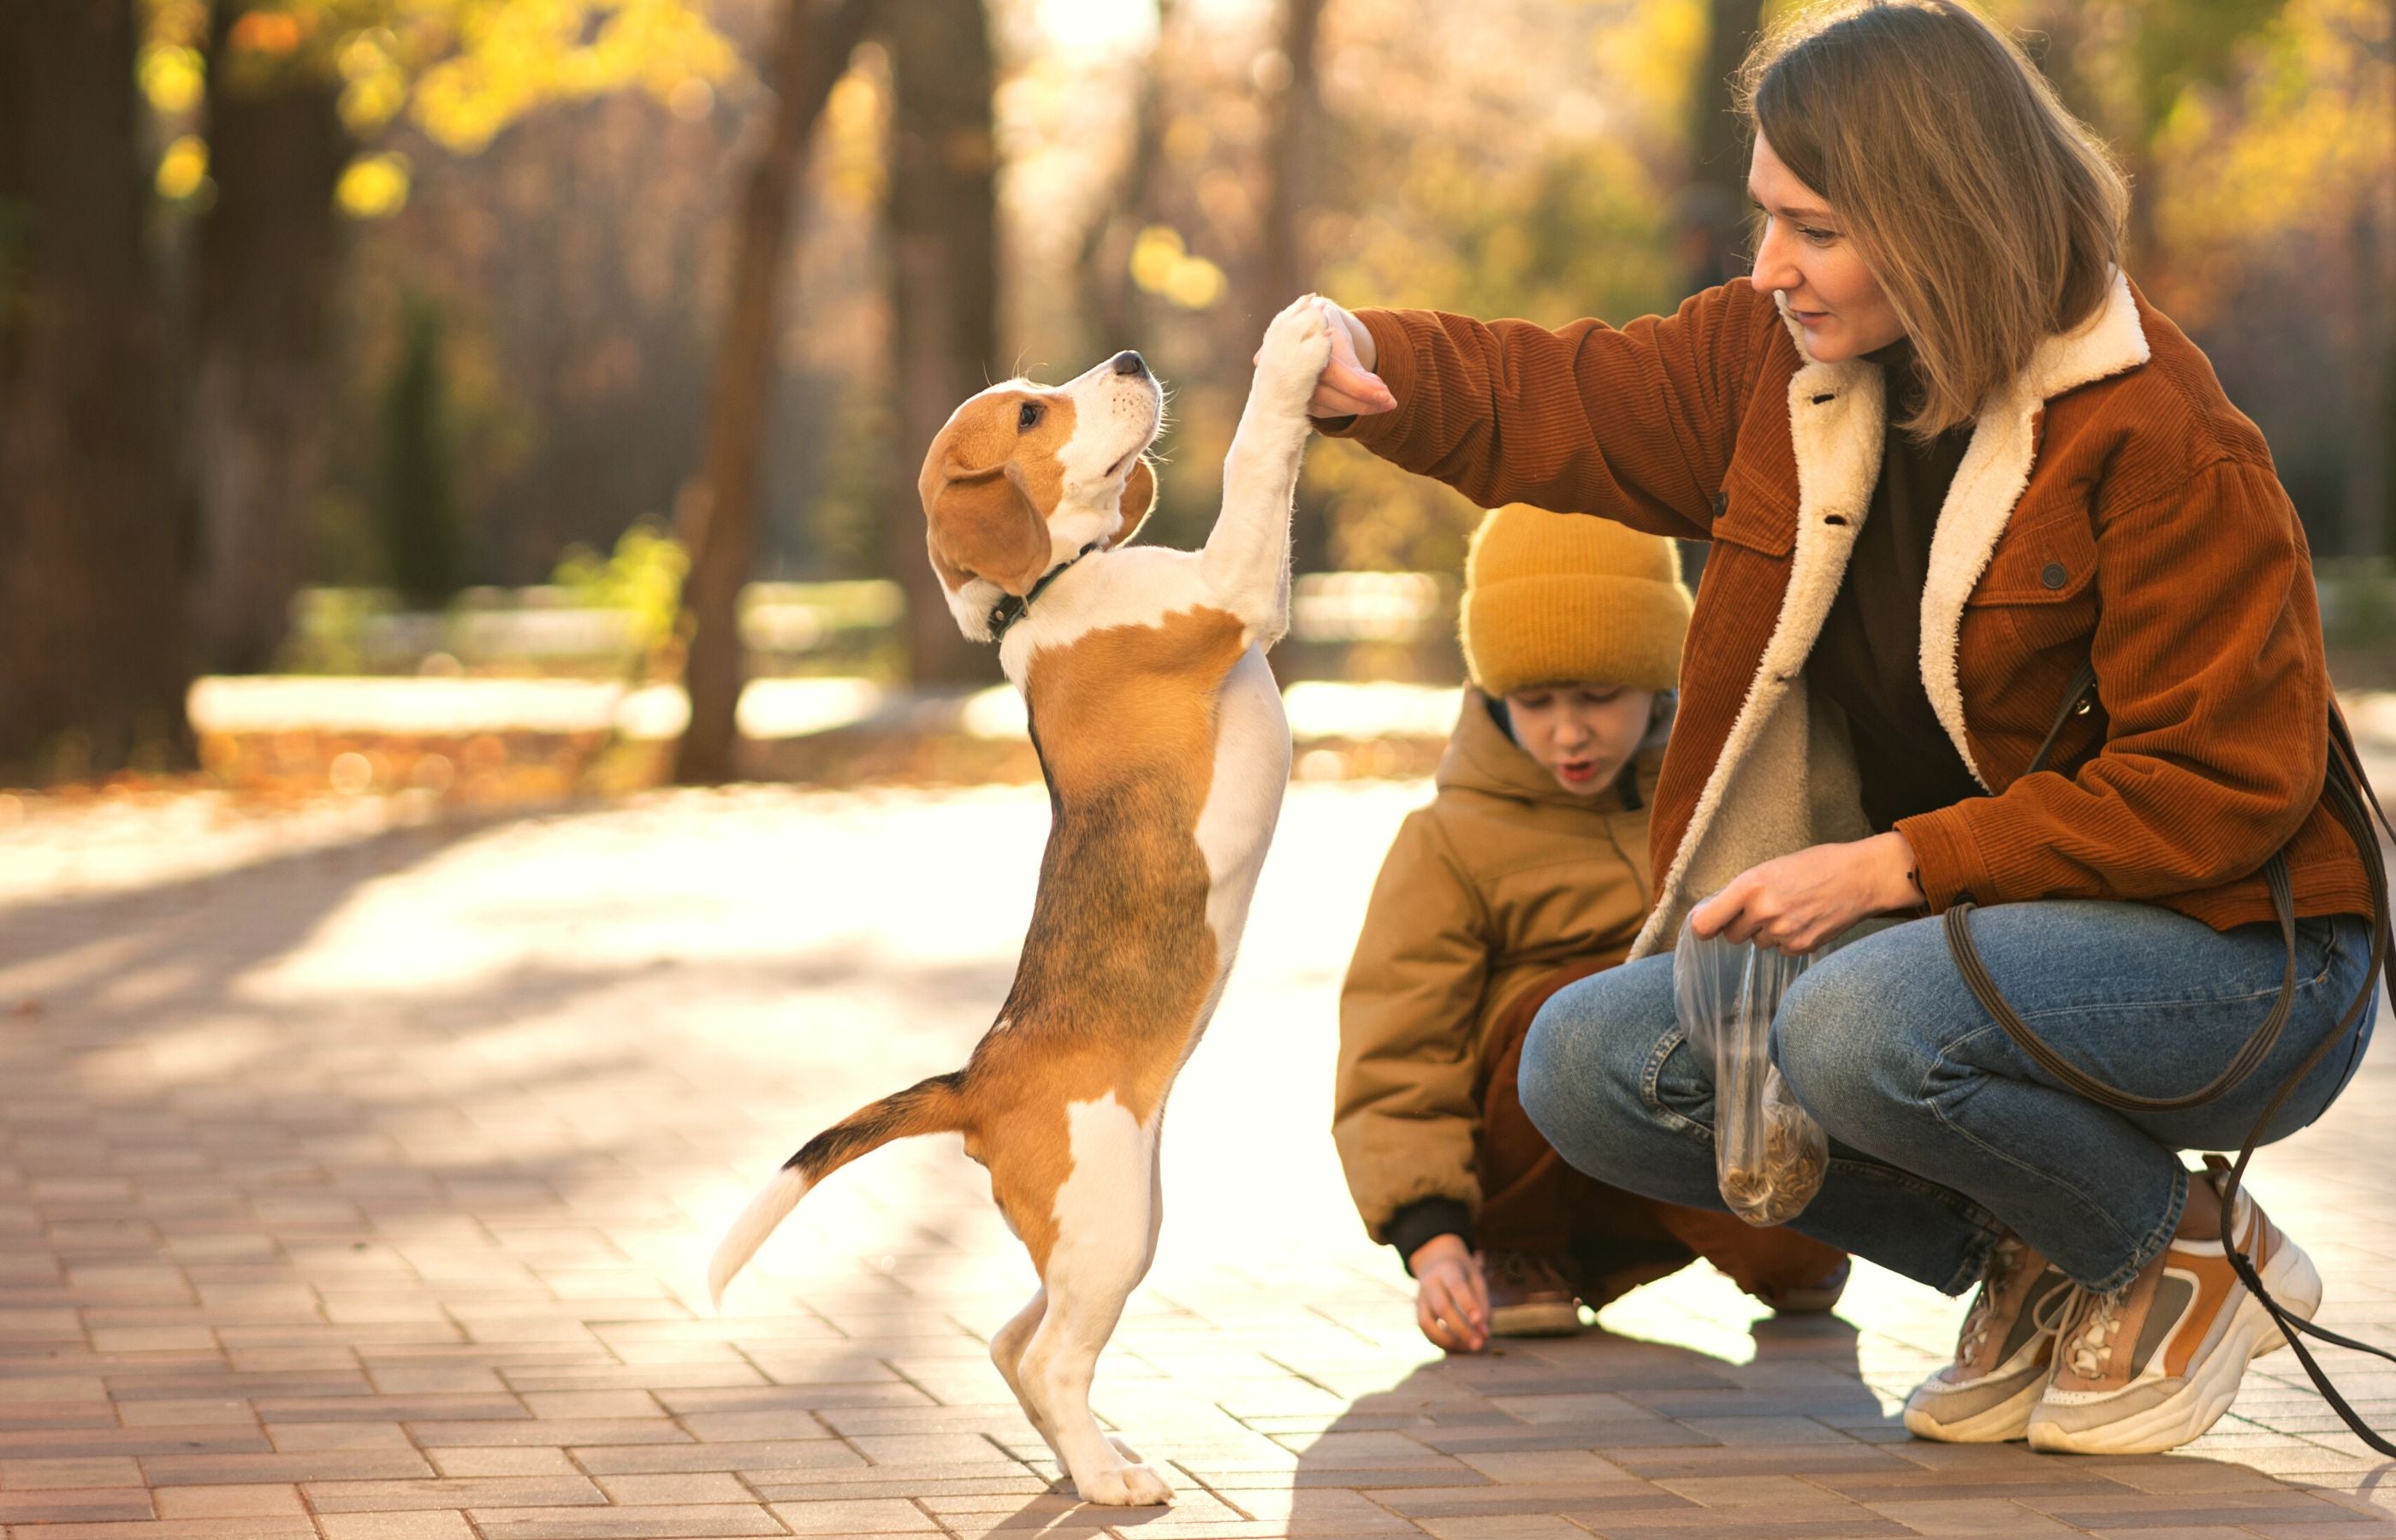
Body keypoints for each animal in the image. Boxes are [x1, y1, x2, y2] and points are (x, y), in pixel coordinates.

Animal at [709, 298, 1342, 1504]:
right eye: (1031, 415)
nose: (1133, 356)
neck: (1039, 596)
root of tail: (973, 1083)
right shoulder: (1235, 584)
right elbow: (1255, 455)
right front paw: (1289, 352)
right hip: (1112, 1221)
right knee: (1047, 1356)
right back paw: (1111, 1482)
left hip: (1109, 1221)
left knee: (1016, 1345)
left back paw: (1094, 1460)